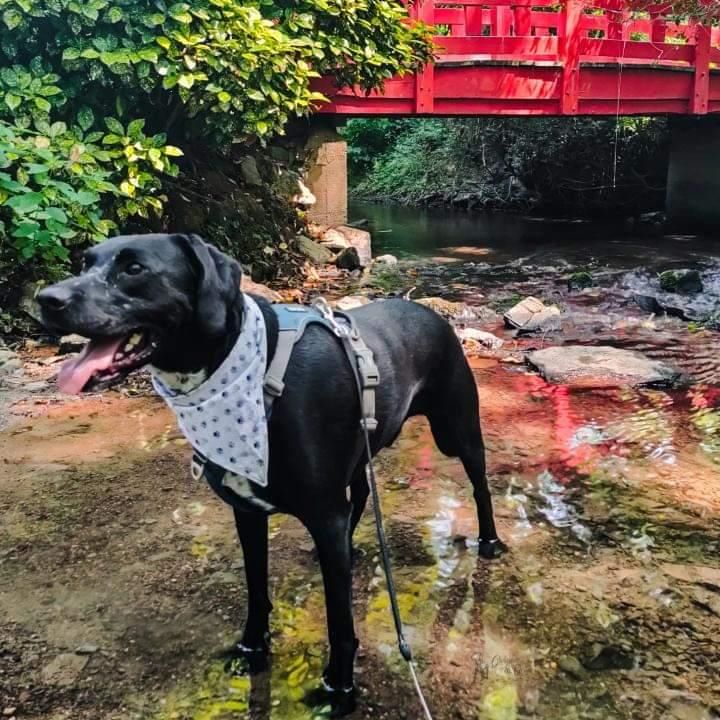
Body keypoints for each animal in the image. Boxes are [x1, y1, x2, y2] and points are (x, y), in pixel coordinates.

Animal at [36, 235, 504, 716]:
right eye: (85, 263)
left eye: (134, 269)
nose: (46, 299)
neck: (249, 371)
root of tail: (430, 313)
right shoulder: (248, 511)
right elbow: (257, 589)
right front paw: (252, 649)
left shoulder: (323, 514)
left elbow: (340, 624)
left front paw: (339, 688)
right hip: (361, 449)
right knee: (360, 492)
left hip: (457, 431)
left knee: (480, 485)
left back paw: (489, 541)